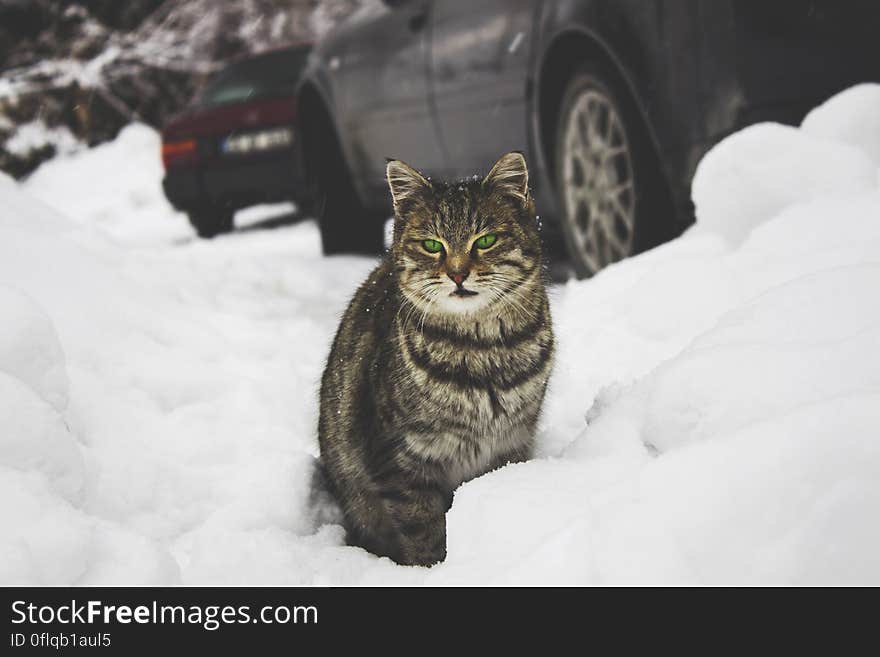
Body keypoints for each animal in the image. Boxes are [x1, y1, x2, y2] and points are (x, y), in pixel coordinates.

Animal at [316, 152, 552, 564]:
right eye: (431, 245)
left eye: (485, 240)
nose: (457, 274)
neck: (484, 350)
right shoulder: (400, 461)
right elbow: (423, 530)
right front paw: (434, 568)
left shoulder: (512, 442)